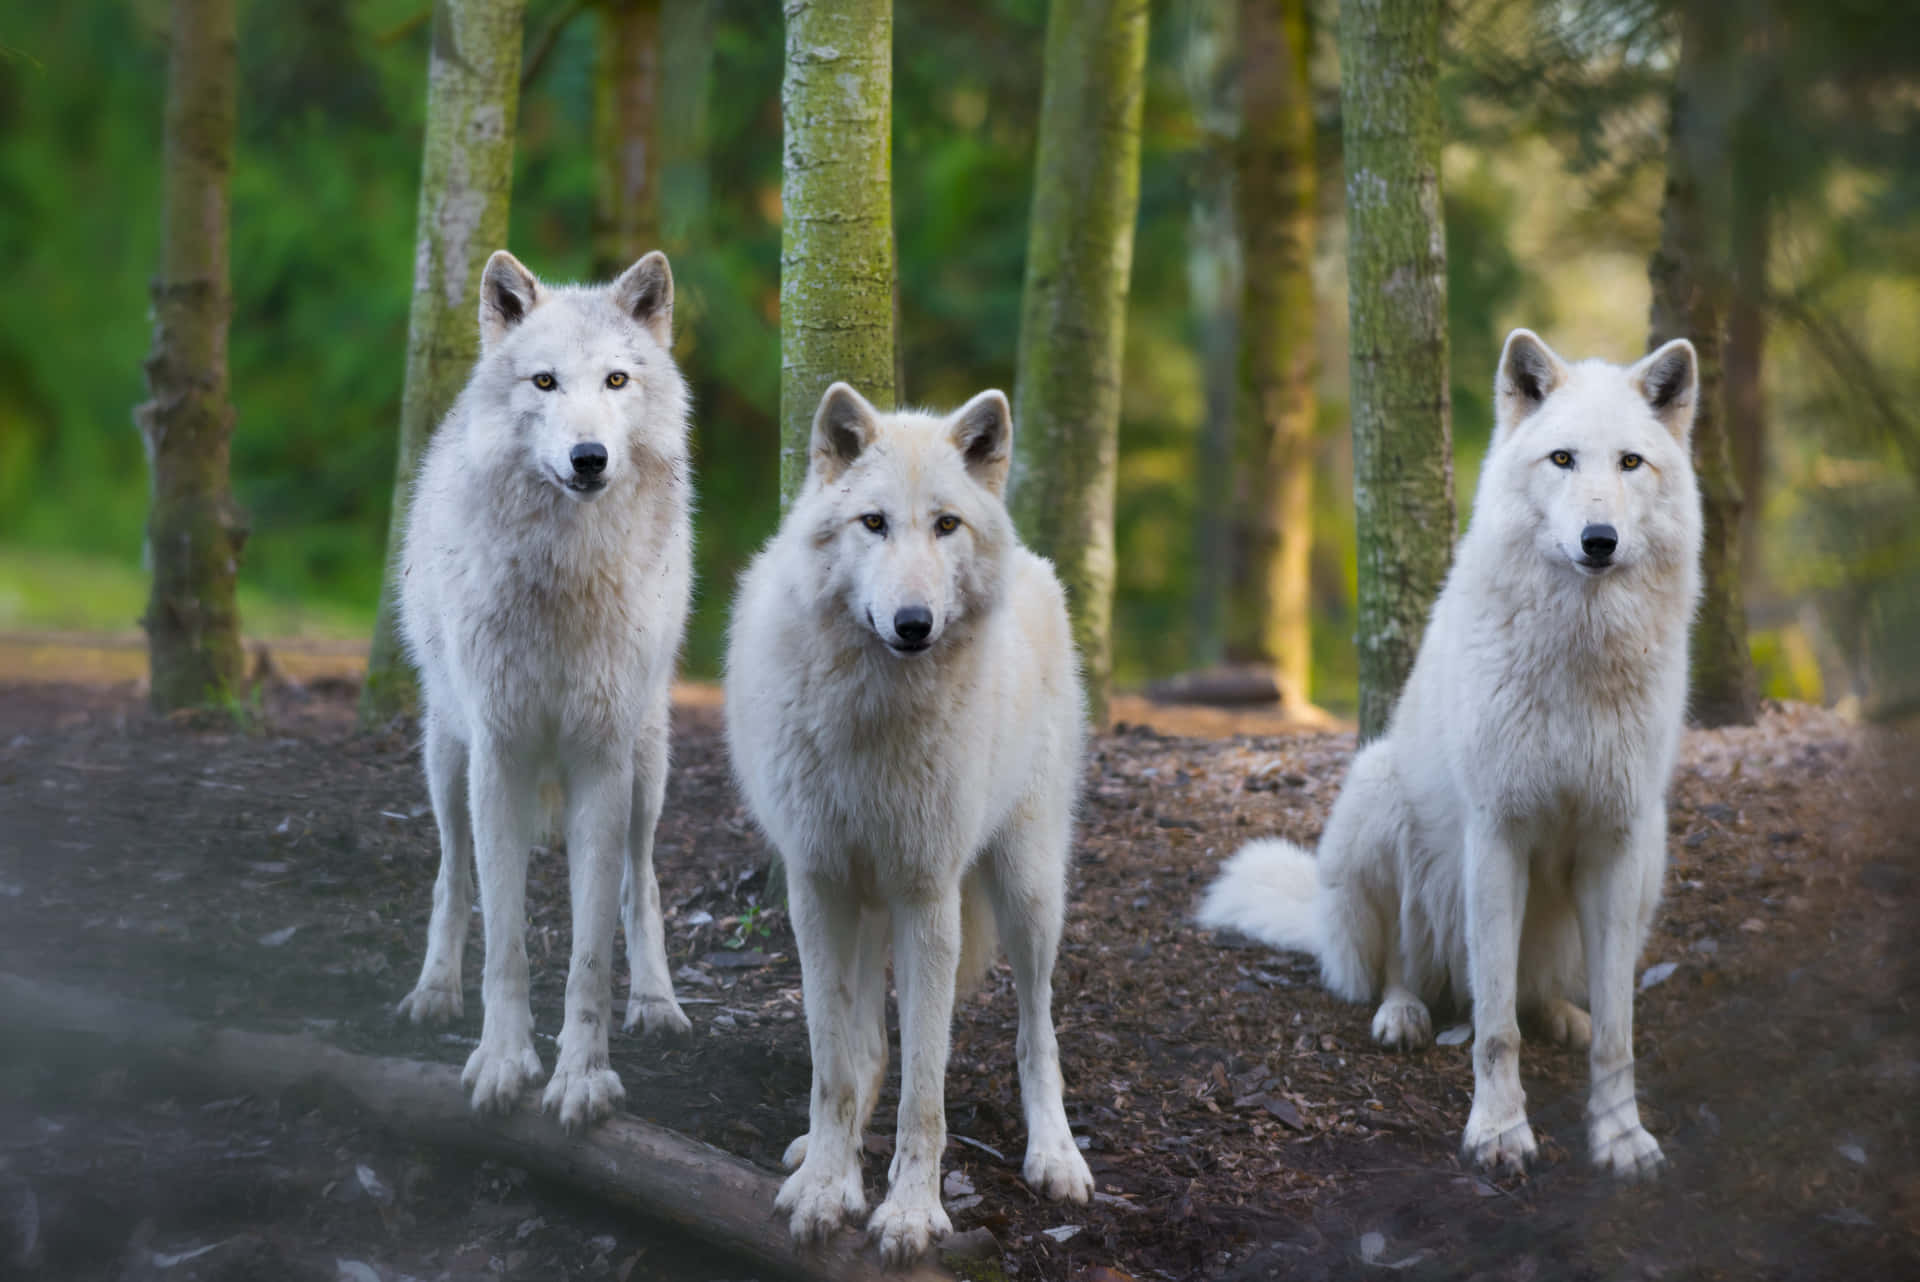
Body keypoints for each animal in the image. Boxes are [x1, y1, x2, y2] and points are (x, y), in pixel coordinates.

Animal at [393, 249, 695, 1128]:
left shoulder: (601, 764)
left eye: (617, 380)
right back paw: (434, 991)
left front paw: (583, 1078)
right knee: (452, 875)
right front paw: (502, 1061)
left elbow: (591, 952)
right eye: (546, 382)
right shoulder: (500, 757)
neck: (567, 578)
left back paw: (658, 1003)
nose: (589, 457)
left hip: (648, 770)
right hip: (447, 761)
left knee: (642, 882)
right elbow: (507, 941)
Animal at [725, 379, 1098, 1258]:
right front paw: (825, 1190)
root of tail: (1035, 564)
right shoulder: (819, 887)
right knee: (865, 1046)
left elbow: (925, 1088)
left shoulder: (927, 897)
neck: (873, 713)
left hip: (1027, 890)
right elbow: (835, 1067)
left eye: (945, 526)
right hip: (868, 908)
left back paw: (1056, 1156)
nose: (913, 623)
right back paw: (823, 1153)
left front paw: (910, 1212)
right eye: (874, 523)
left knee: (1038, 1033)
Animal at [1198, 333, 1712, 1182]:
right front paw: (1499, 1134)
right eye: (1563, 459)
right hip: (1382, 805)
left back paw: (1561, 1014)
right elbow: (1496, 1030)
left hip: (1652, 861)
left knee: (1541, 995)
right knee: (1407, 970)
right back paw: (1402, 1015)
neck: (1578, 654)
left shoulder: (1617, 840)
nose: (1598, 541)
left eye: (1631, 463)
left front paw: (1619, 1138)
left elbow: (1618, 1034)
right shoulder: (1497, 833)